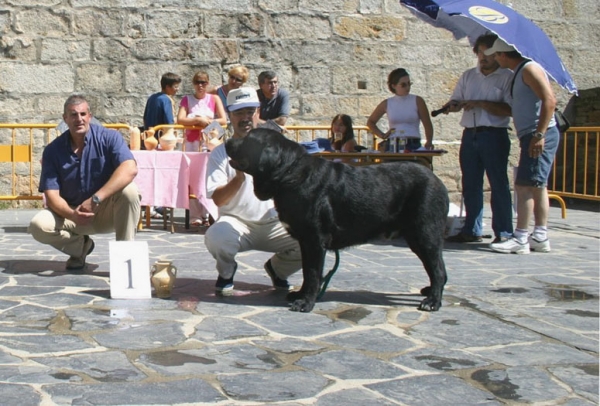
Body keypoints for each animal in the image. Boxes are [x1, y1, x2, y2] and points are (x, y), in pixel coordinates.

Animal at [227, 128, 448, 312]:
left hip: (424, 233)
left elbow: (313, 272)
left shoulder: (314, 240)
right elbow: (307, 271)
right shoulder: (306, 242)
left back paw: (432, 302)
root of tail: (438, 181)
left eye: (248, 138)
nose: (228, 141)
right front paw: (300, 295)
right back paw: (430, 292)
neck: (289, 174)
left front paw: (305, 303)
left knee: (437, 269)